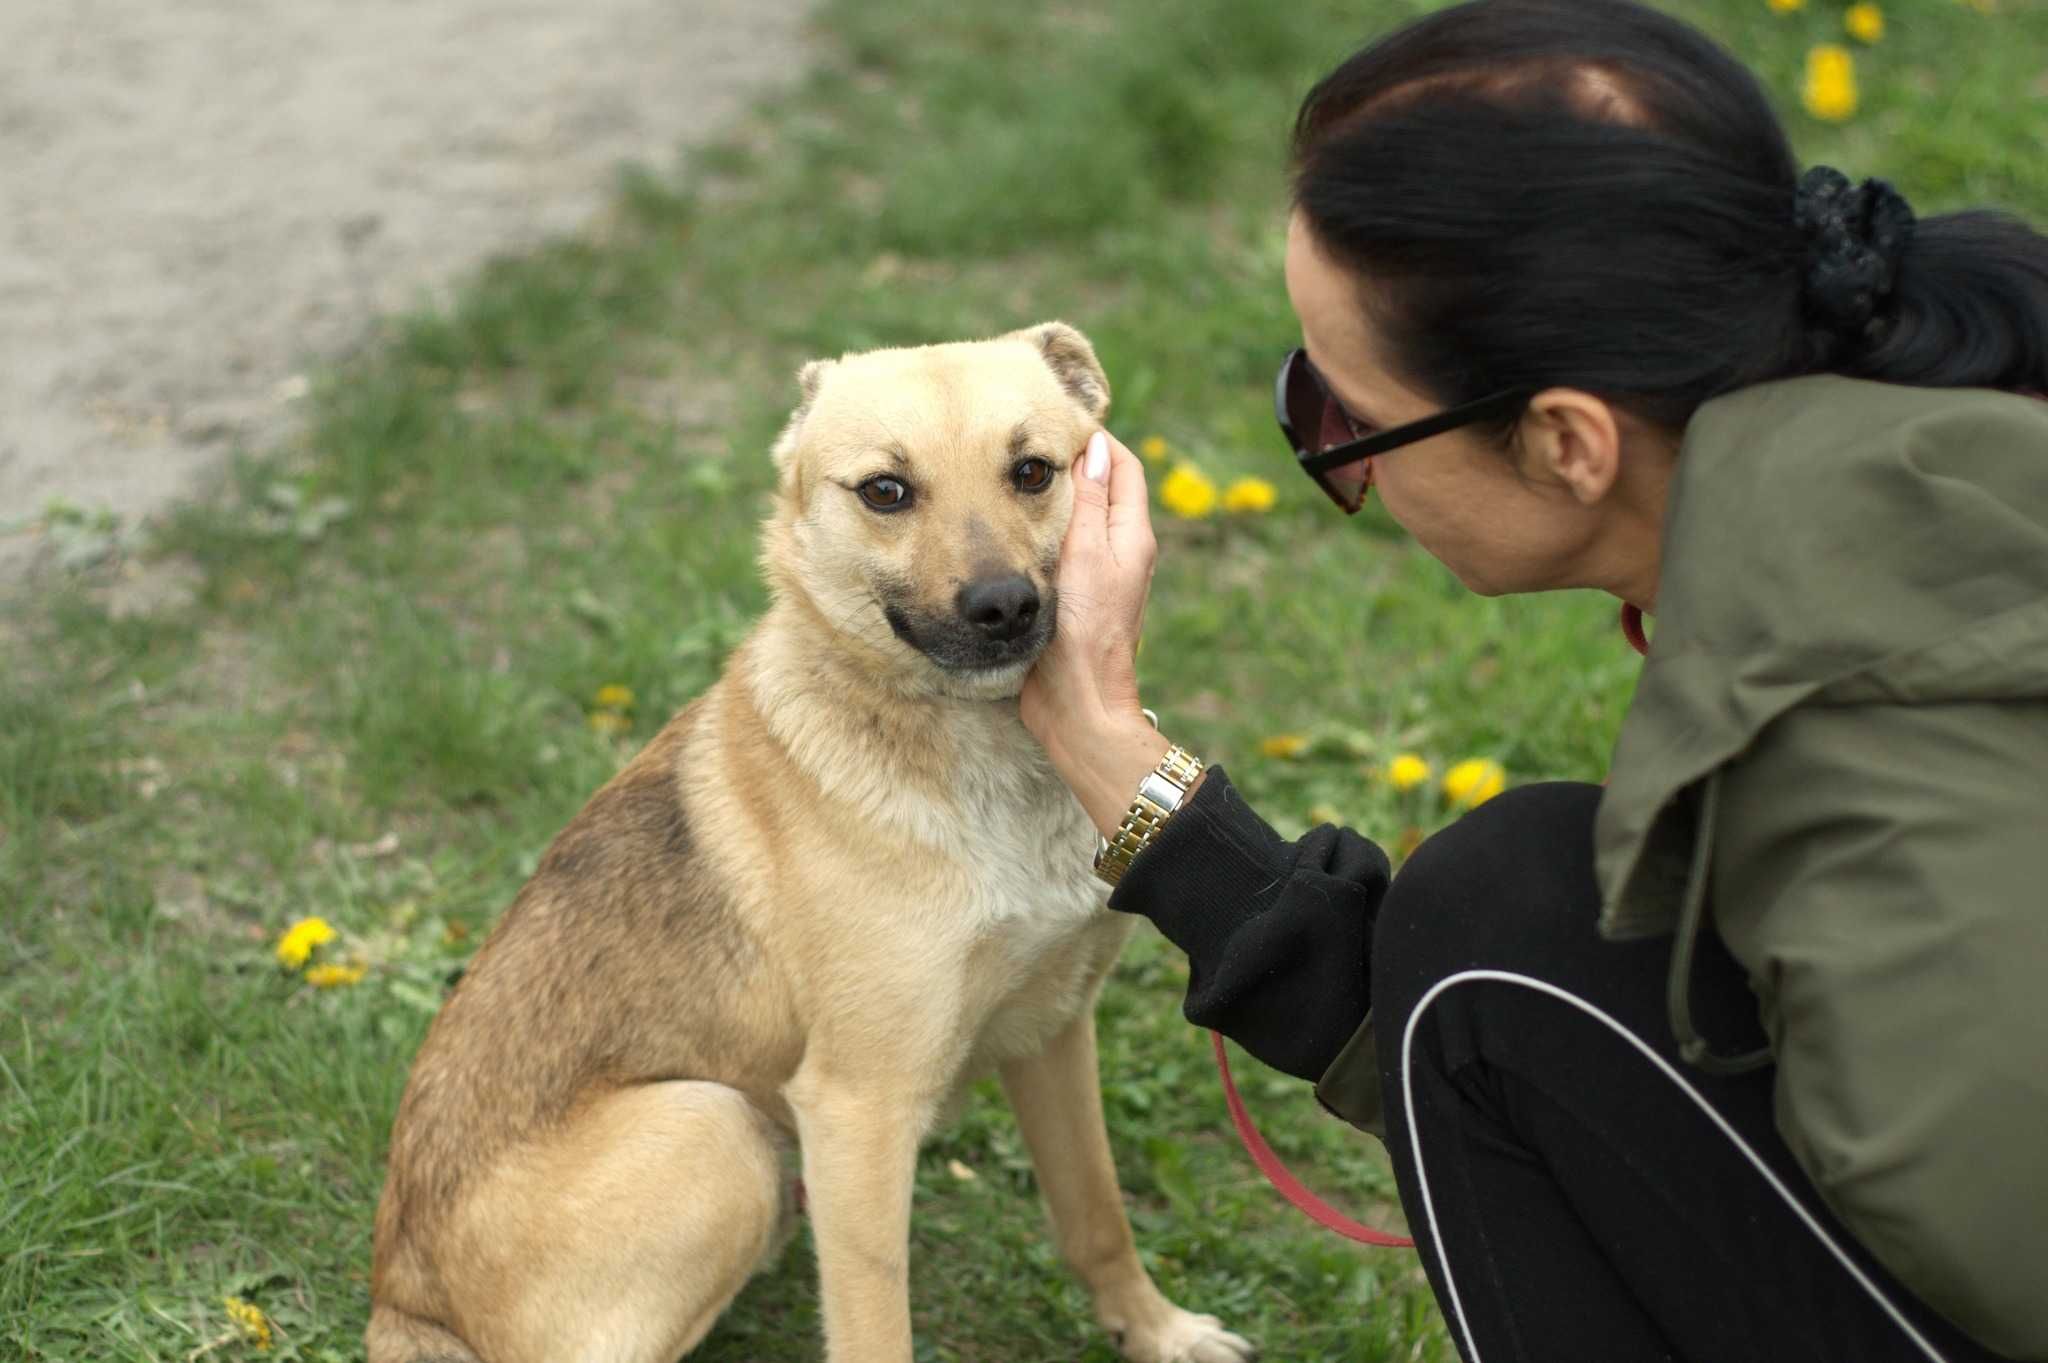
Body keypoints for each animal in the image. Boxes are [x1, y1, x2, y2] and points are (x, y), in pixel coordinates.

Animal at [374, 327, 1253, 1358]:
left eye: (1033, 470)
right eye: (886, 490)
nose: (1003, 606)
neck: (984, 759)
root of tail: (403, 1299)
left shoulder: (1053, 1031)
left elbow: (1097, 1215)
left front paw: (1157, 1330)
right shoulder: (856, 1113)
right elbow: (876, 1324)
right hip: (718, 1133)